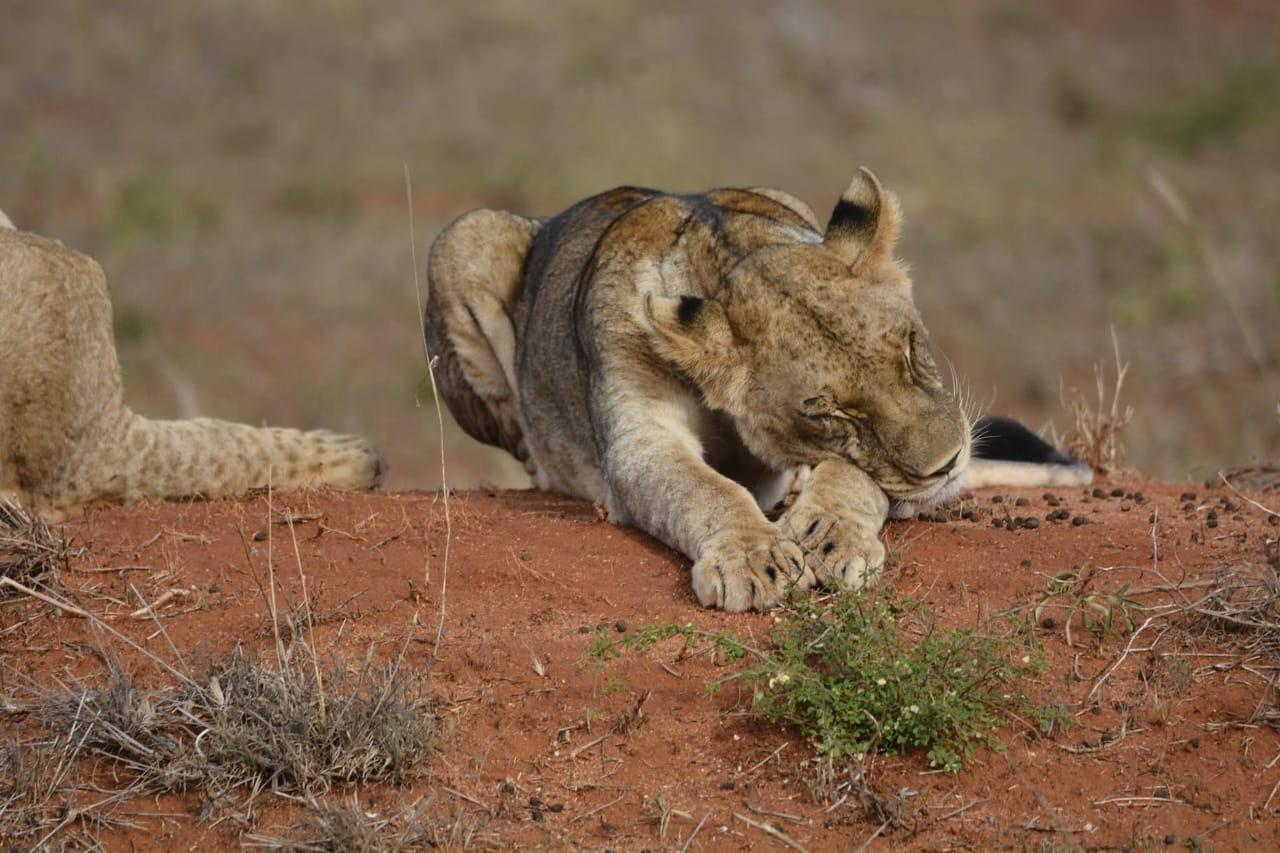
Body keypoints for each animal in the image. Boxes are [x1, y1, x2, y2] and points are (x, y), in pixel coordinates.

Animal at [423, 170, 1089, 611]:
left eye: (909, 347)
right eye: (827, 410)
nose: (947, 464)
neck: (731, 255)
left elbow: (854, 477)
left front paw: (831, 535)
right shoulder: (639, 440)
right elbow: (703, 489)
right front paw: (751, 560)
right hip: (464, 237)